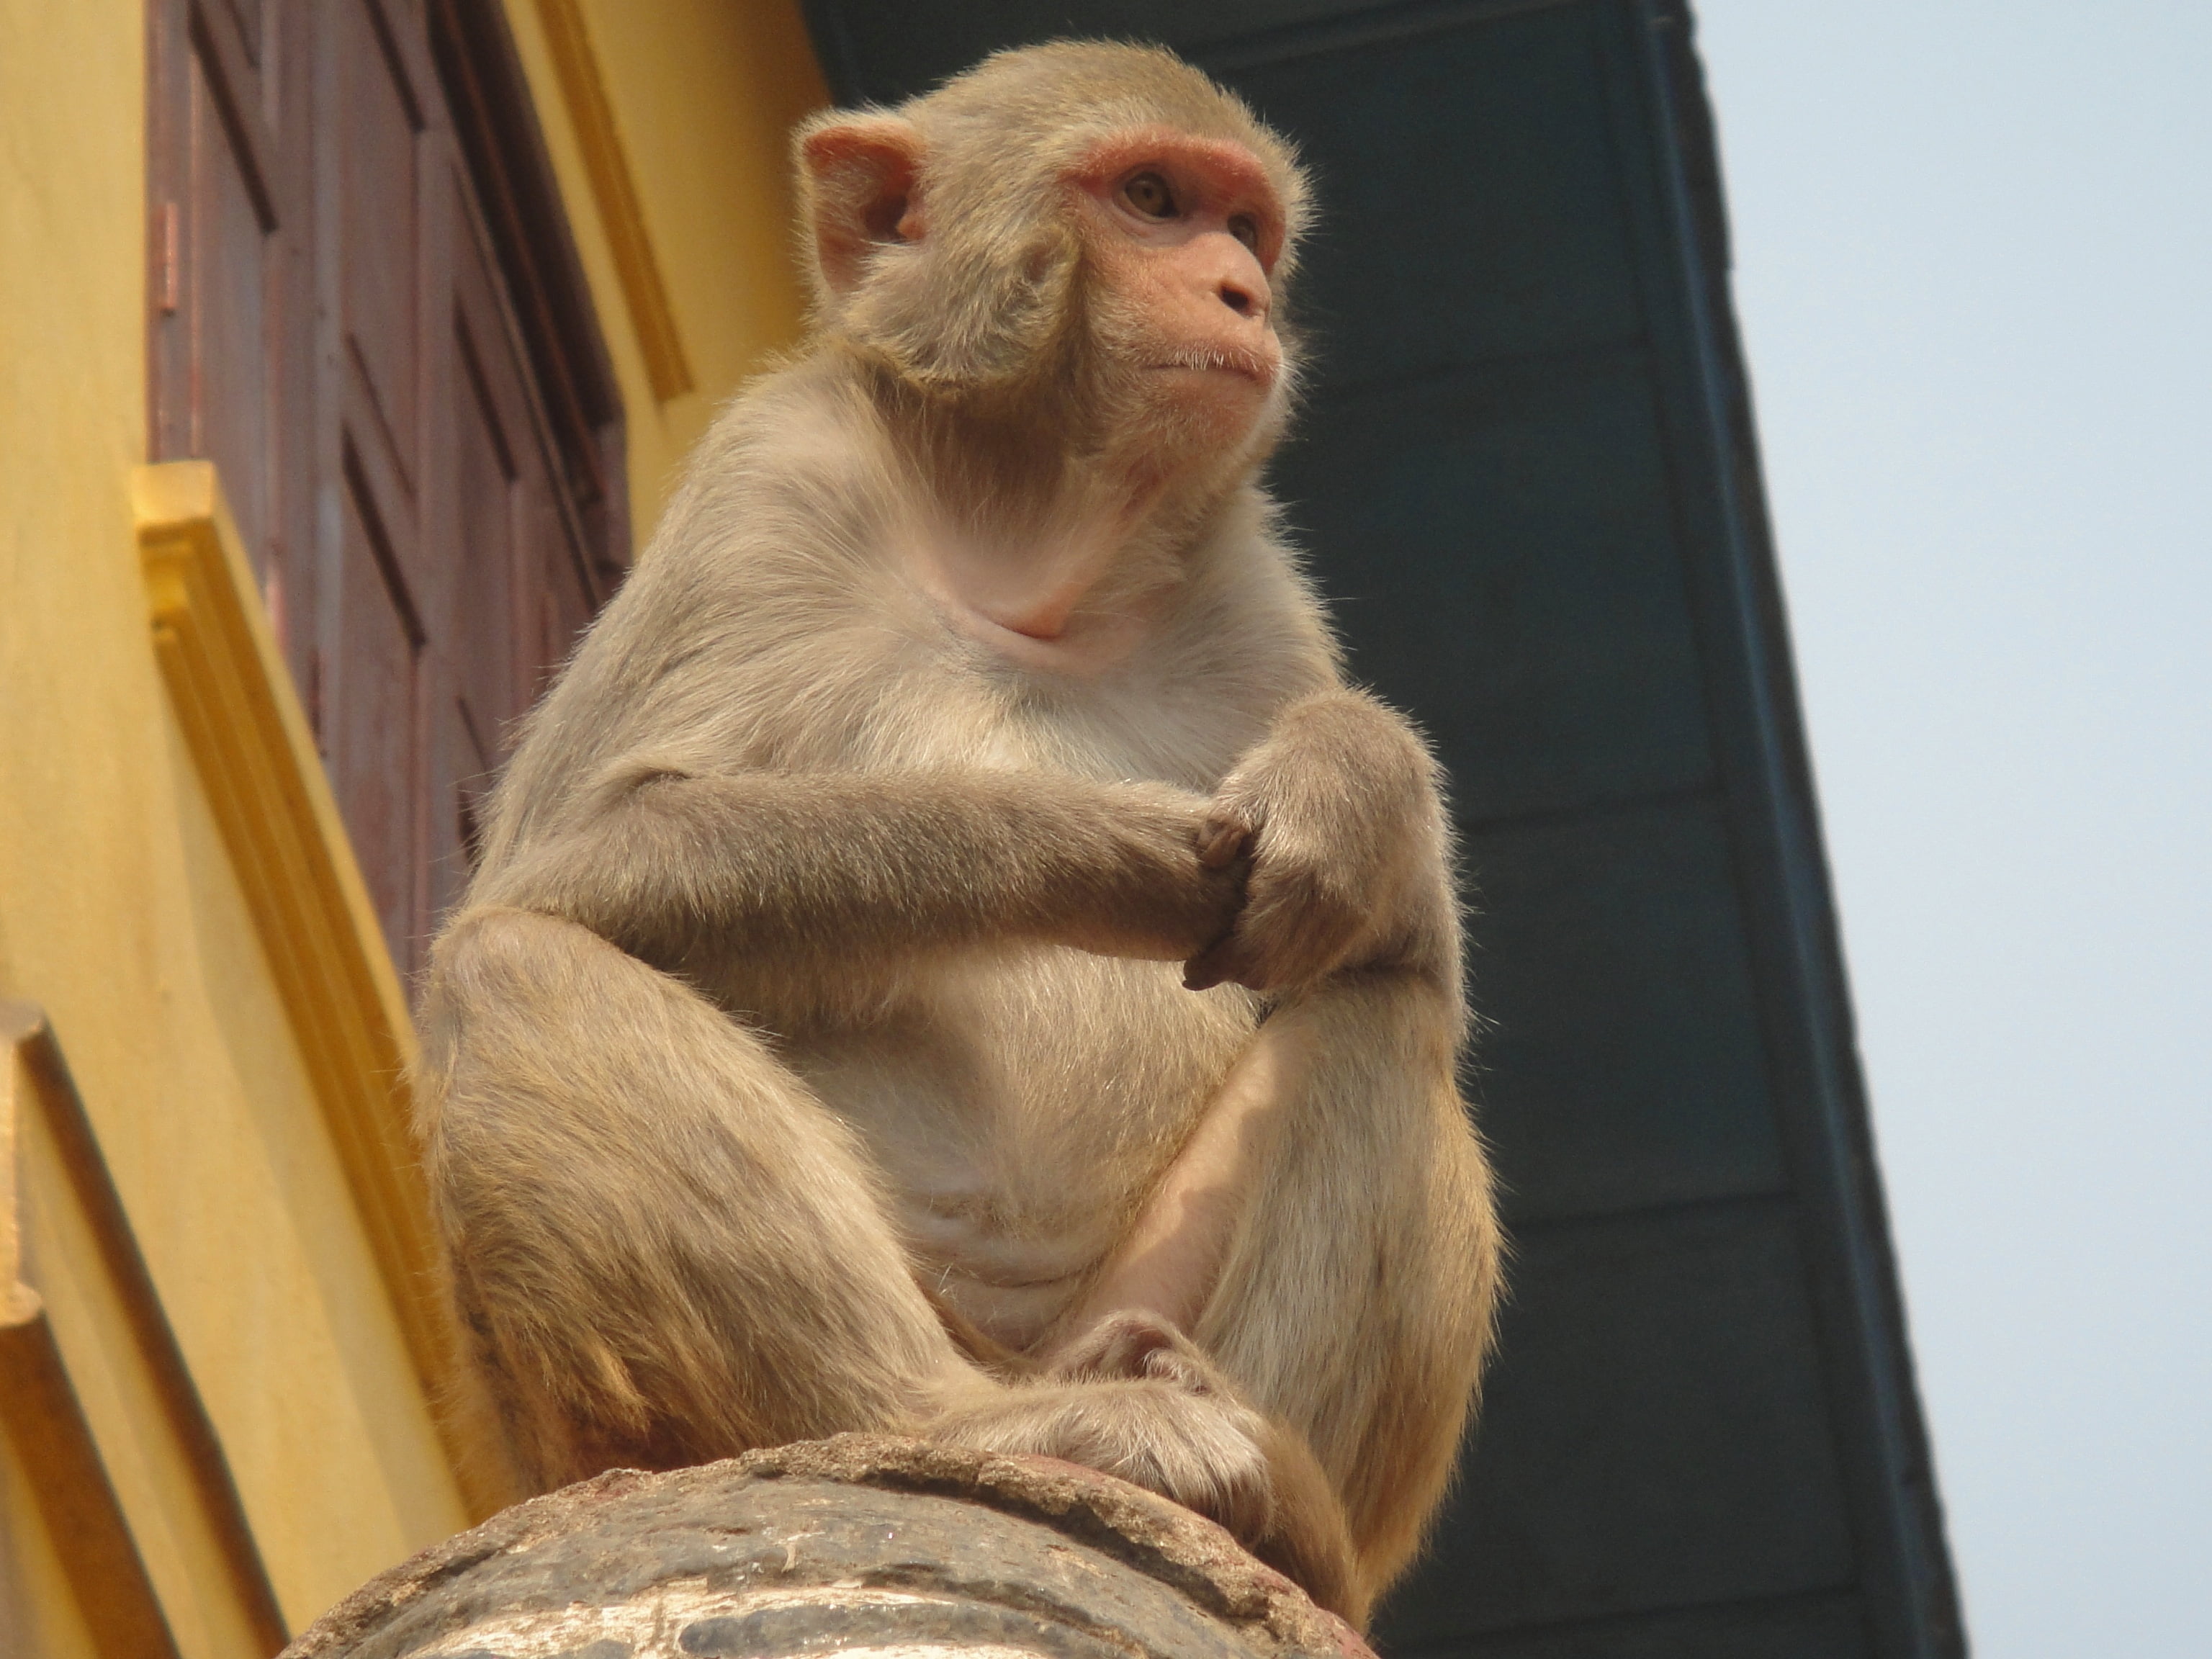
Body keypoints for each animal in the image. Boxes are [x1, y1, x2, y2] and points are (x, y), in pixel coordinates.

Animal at [413, 41, 1500, 1628]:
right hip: (600, 1424)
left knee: (1379, 1011)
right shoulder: (771, 476)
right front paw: (1093, 848)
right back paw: (967, 1419)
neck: (1022, 557)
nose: (1241, 294)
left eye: (1246, 229)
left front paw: (1350, 783)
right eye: (1152, 198)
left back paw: (1276, 1509)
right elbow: (584, 853)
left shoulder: (1253, 582)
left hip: (1130, 1300)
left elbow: (1403, 940)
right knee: (509, 965)